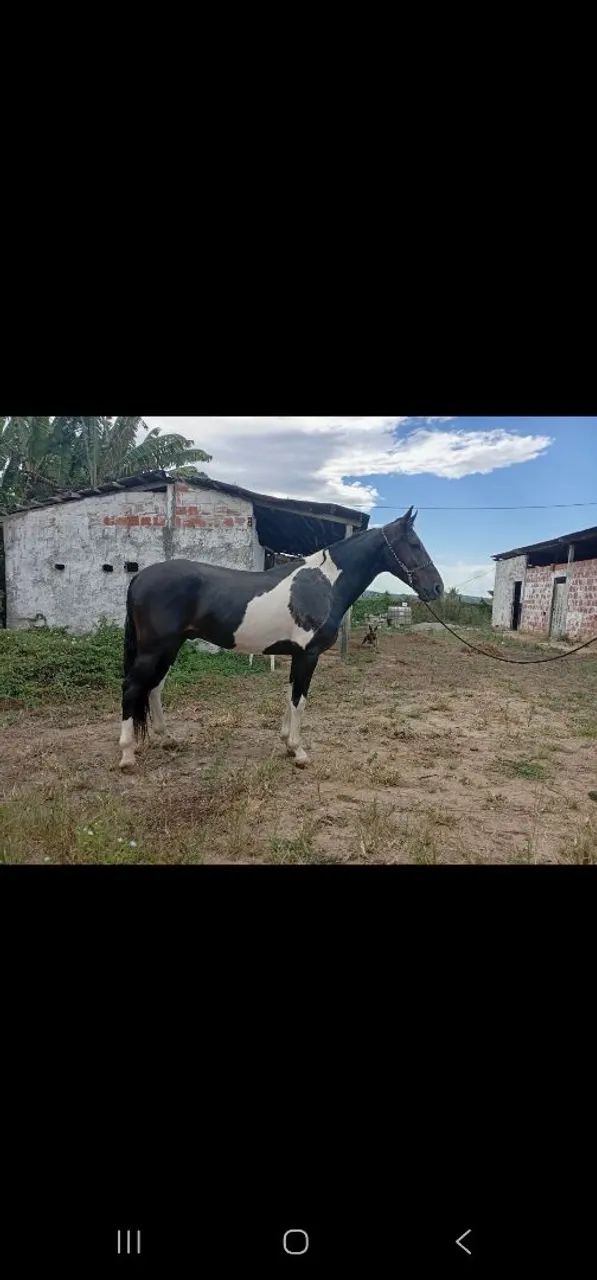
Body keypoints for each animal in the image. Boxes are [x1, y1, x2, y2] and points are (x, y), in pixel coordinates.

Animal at [118, 506, 443, 771]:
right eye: (414, 544)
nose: (437, 588)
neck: (324, 584)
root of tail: (140, 577)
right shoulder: (308, 655)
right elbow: (300, 700)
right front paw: (298, 752)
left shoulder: (297, 655)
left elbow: (290, 697)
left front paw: (287, 741)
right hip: (154, 649)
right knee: (133, 688)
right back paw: (127, 755)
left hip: (170, 647)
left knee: (155, 688)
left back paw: (167, 738)